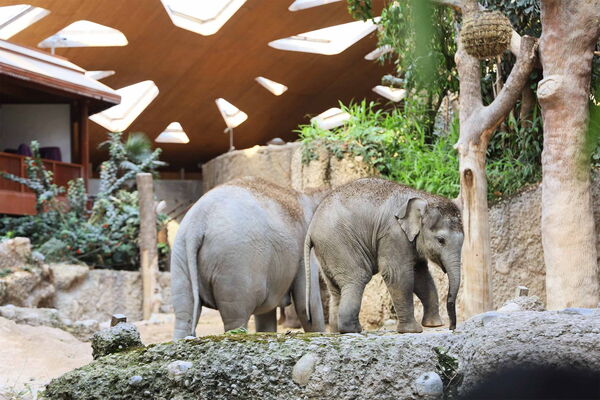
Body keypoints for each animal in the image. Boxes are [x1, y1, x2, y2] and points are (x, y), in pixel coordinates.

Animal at [171, 176, 326, 339]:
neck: (308, 194)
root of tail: (198, 221)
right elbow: (307, 304)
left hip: (181, 254)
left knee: (184, 313)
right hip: (235, 263)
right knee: (236, 318)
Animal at [304, 178, 463, 334]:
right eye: (441, 240)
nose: (452, 328)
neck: (423, 197)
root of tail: (311, 228)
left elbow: (421, 275)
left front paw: (433, 325)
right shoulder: (393, 234)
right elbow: (397, 274)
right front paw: (413, 331)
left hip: (327, 252)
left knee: (336, 289)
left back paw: (337, 332)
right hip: (340, 244)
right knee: (357, 278)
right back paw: (354, 330)